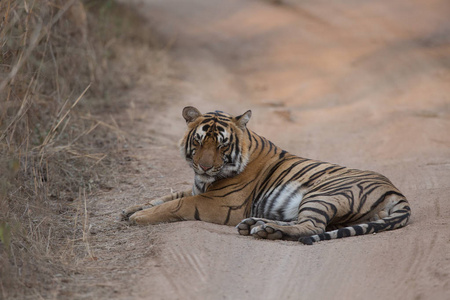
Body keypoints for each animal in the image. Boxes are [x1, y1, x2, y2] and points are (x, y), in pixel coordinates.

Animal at [121, 106, 410, 245]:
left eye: (222, 145)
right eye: (200, 141)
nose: (203, 167)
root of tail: (397, 192)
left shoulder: (219, 203)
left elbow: (175, 204)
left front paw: (139, 217)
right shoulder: (197, 188)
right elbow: (164, 196)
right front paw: (129, 209)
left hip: (324, 193)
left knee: (313, 226)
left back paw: (266, 230)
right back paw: (257, 225)